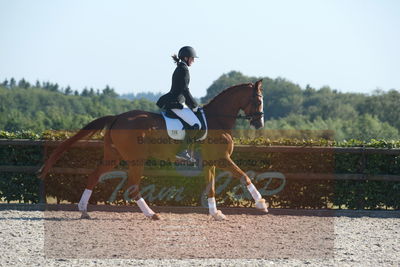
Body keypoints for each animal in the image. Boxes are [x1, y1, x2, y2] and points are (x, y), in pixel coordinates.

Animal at [39, 80, 268, 222]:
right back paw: (151, 214)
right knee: (132, 186)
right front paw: (261, 204)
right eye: (258, 100)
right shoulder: (222, 158)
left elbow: (210, 186)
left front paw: (215, 213)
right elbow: (244, 176)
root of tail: (117, 117)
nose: (259, 124)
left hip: (113, 156)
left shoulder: (210, 162)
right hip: (136, 159)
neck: (217, 119)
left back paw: (84, 210)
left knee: (94, 175)